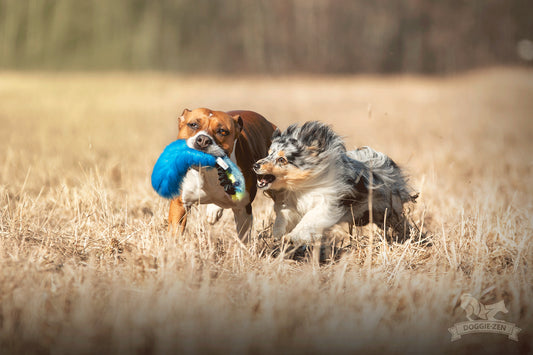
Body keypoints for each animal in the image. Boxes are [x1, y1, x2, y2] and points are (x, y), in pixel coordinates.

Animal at [167, 108, 276, 241]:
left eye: (222, 131)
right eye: (193, 124)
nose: (203, 140)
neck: (208, 172)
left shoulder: (243, 208)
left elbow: (243, 238)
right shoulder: (180, 204)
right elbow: (176, 230)